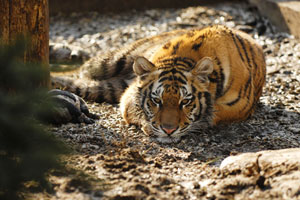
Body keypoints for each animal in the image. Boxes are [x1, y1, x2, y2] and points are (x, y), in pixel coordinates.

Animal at [52, 25, 268, 144]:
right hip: (108, 62)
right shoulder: (129, 95)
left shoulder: (239, 106)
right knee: (81, 72)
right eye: (156, 100)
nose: (168, 130)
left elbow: (214, 112)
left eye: (185, 101)